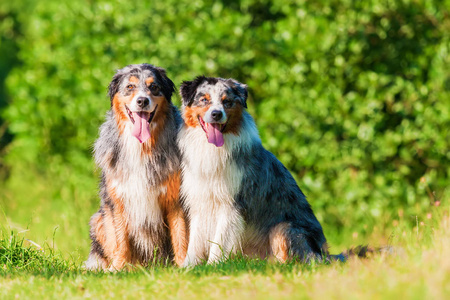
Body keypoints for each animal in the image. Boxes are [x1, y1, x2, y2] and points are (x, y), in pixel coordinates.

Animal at [85, 62, 187, 270]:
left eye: (153, 86)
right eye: (130, 87)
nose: (142, 101)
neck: (141, 145)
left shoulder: (175, 199)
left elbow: (180, 235)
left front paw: (184, 265)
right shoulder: (116, 199)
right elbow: (120, 239)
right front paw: (117, 268)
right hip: (97, 219)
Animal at [178, 75, 342, 268]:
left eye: (227, 102)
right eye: (204, 100)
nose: (216, 114)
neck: (211, 148)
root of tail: (325, 254)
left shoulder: (232, 204)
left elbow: (220, 241)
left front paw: (213, 266)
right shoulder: (199, 200)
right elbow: (195, 240)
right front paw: (188, 267)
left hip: (284, 226)